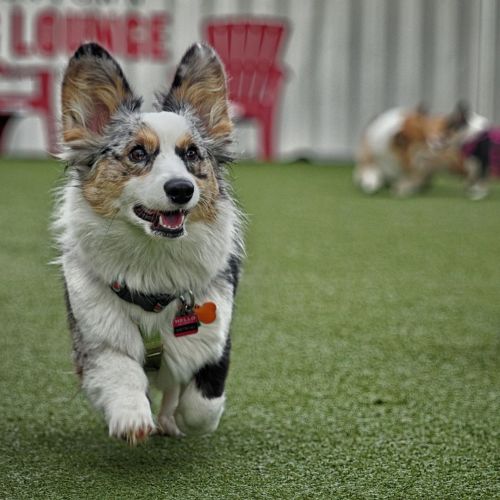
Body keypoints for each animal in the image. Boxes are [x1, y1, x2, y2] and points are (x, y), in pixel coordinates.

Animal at [53, 41, 244, 444]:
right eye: (138, 153)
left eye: (192, 154)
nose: (181, 189)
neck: (155, 259)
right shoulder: (97, 336)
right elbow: (120, 371)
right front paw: (131, 419)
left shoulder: (216, 335)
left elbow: (202, 405)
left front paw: (182, 418)